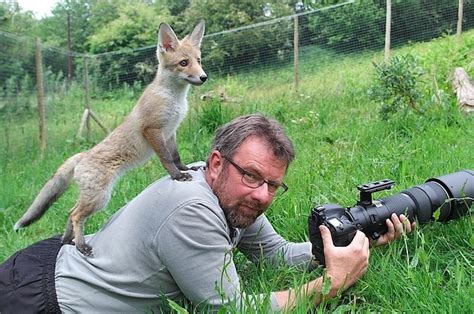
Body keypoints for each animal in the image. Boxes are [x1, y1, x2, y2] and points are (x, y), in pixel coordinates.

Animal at [13, 20, 206, 255]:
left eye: (198, 60)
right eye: (183, 63)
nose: (204, 77)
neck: (173, 99)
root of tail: (82, 155)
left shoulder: (170, 132)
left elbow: (176, 157)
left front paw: (186, 169)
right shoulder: (152, 130)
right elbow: (166, 159)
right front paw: (177, 176)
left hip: (92, 197)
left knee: (70, 212)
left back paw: (68, 241)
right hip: (100, 198)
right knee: (75, 215)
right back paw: (82, 246)